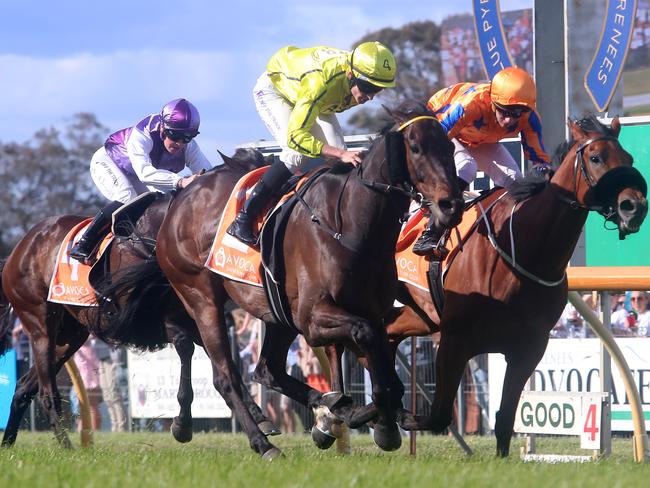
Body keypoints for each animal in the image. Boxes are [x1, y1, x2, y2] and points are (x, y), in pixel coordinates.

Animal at [0, 150, 274, 450]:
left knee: (24, 387)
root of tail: (18, 251)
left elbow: (218, 358)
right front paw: (183, 425)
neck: (158, 235)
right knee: (46, 392)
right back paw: (67, 447)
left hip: (69, 335)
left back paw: (8, 444)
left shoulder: (190, 313)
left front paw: (260, 416)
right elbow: (187, 349)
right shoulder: (150, 320)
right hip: (39, 325)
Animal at [154, 101, 464, 460]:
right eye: (415, 147)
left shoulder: (372, 311)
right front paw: (378, 420)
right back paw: (263, 443)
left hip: (276, 313)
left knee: (267, 370)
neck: (354, 226)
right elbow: (367, 338)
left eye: (449, 147)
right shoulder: (313, 318)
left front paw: (364, 417)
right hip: (202, 297)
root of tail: (180, 197)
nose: (451, 205)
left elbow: (381, 358)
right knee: (225, 376)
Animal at [334, 115, 644, 458]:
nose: (634, 206)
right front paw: (394, 415)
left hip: (421, 314)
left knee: (385, 335)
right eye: (596, 158)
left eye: (628, 159)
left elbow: (505, 417)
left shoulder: (529, 347)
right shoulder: (455, 338)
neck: (525, 247)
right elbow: (439, 414)